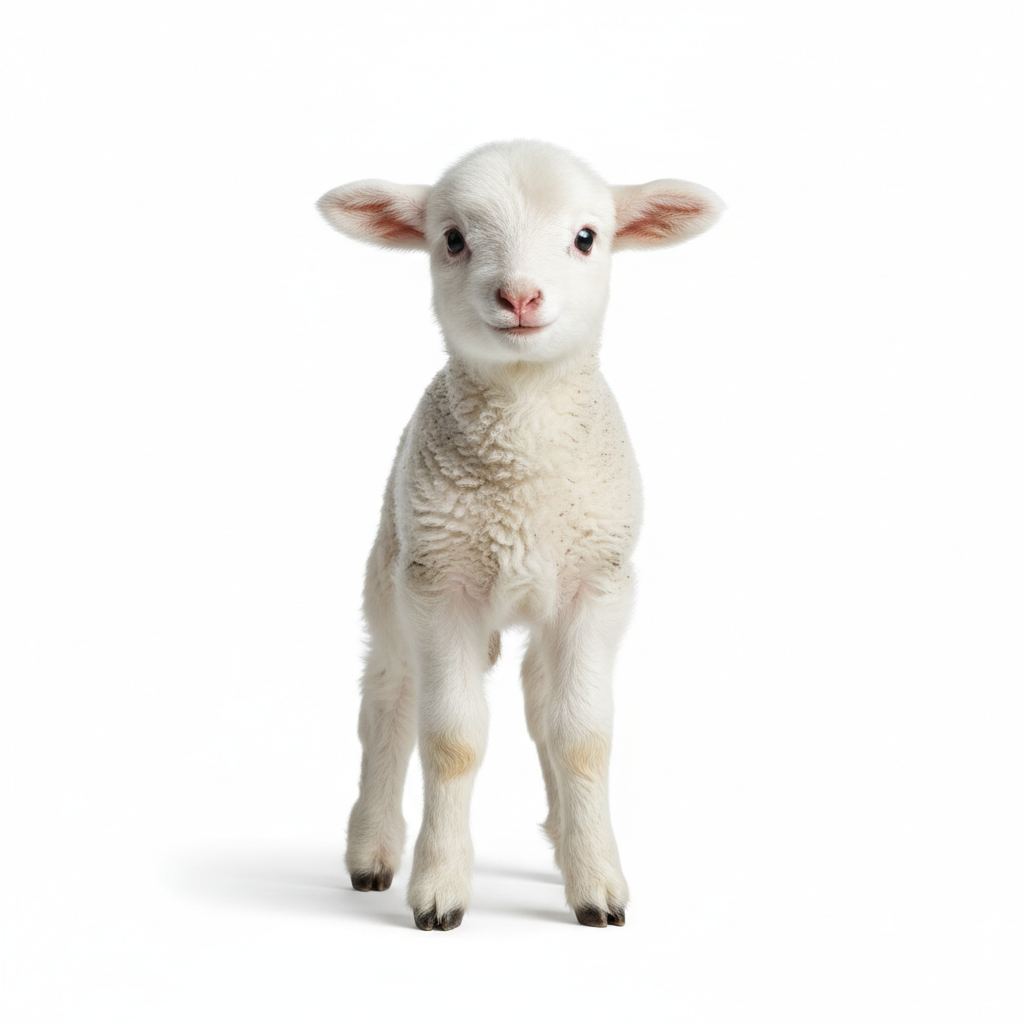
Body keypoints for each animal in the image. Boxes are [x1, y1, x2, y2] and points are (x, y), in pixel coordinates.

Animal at [317, 140, 723, 930]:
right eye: (451, 239)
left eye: (587, 237)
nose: (521, 298)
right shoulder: (440, 587)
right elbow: (450, 740)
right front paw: (439, 889)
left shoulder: (597, 586)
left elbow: (581, 737)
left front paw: (597, 885)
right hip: (391, 572)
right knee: (387, 701)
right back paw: (372, 852)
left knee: (540, 705)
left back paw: (566, 841)